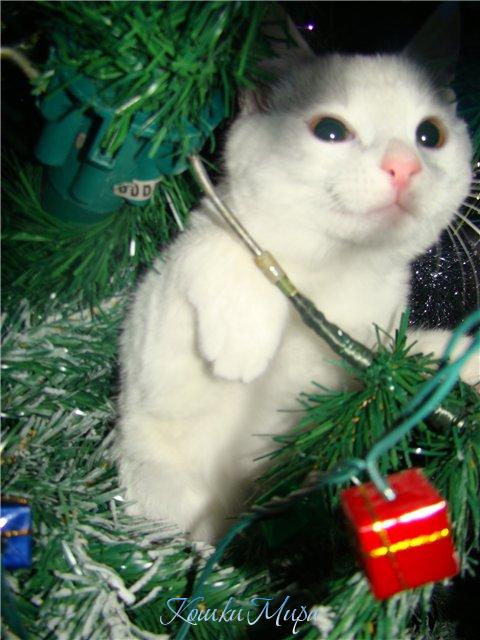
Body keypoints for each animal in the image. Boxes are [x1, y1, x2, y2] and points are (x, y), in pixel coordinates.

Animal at [116, 51, 477, 544]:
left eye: (430, 135)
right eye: (330, 129)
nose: (404, 165)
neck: (335, 270)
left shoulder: (377, 343)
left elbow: (413, 355)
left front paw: (469, 360)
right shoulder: (160, 343)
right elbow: (220, 248)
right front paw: (243, 344)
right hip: (151, 472)